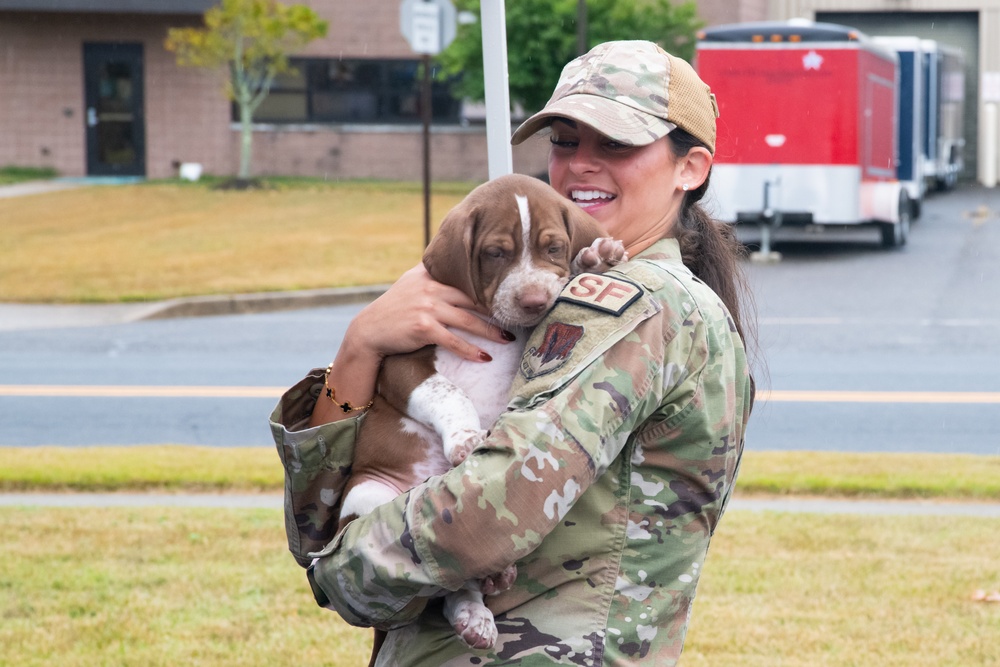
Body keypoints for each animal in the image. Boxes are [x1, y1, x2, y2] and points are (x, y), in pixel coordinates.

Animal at [340, 174, 624, 656]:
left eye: (553, 247)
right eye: (495, 253)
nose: (534, 302)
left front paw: (595, 257)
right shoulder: (403, 365)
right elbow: (448, 391)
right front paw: (466, 438)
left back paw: (482, 602)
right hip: (370, 498)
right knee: (443, 576)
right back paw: (477, 603)